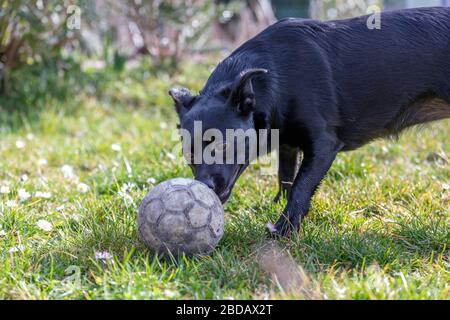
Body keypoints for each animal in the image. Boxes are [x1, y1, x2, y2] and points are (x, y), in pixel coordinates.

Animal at [170, 6, 450, 238]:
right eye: (189, 155)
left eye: (224, 146)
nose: (204, 186)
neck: (276, 78)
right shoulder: (287, 145)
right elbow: (285, 178)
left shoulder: (324, 146)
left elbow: (300, 187)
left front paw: (283, 230)